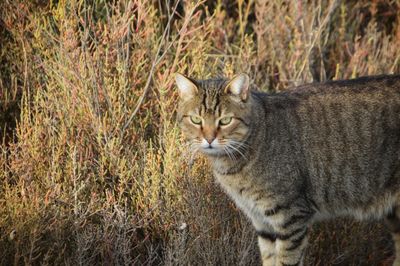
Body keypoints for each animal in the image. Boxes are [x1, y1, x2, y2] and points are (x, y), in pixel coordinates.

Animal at [175, 72, 400, 266]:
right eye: (196, 120)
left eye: (225, 120)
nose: (209, 139)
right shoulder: (262, 222)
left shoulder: (291, 217)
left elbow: (286, 260)